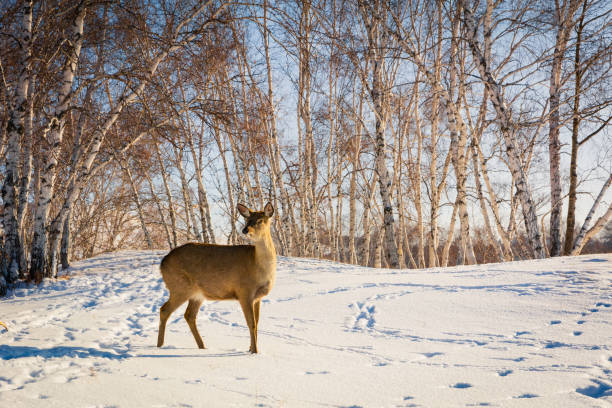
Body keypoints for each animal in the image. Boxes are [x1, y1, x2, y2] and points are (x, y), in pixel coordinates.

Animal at [157, 203, 276, 354]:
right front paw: (254, 352)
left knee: (189, 315)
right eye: (247, 220)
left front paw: (251, 349)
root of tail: (162, 263)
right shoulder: (244, 291)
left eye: (260, 220)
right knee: (164, 310)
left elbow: (257, 323)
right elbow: (251, 324)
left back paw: (202, 346)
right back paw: (159, 346)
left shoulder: (258, 298)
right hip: (179, 286)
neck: (258, 266)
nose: (245, 230)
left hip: (197, 294)